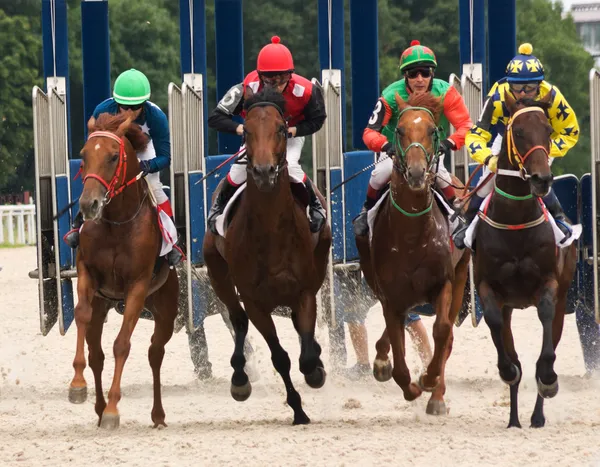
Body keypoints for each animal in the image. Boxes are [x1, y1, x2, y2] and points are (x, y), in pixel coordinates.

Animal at [68, 111, 178, 430]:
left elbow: (122, 345)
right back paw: (97, 406)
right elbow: (82, 316)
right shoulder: (87, 273)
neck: (117, 222)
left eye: (114, 156)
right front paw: (77, 386)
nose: (89, 204)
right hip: (103, 305)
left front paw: (113, 410)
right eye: (83, 156)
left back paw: (157, 415)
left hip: (166, 309)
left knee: (155, 353)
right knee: (96, 353)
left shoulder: (137, 287)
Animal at [202, 86, 332, 426]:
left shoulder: (304, 291)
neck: (272, 231)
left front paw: (315, 372)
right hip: (218, 272)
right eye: (246, 130)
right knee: (237, 319)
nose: (263, 171)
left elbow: (306, 354)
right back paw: (239, 379)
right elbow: (280, 357)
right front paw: (298, 409)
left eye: (281, 129)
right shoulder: (255, 301)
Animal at [354, 93, 472, 414]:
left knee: (448, 336)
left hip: (461, 276)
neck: (411, 234)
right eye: (399, 130)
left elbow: (442, 331)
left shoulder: (444, 283)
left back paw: (437, 396)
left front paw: (430, 381)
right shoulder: (390, 293)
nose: (418, 173)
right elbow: (397, 349)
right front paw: (405, 381)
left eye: (433, 131)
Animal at [472, 92, 580, 432]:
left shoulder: (549, 283)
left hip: (563, 295)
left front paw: (548, 379)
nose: (541, 179)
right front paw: (508, 370)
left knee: (553, 335)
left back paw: (536, 415)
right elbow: (496, 327)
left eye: (547, 130)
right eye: (518, 132)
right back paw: (514, 419)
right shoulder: (488, 287)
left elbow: (546, 324)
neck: (516, 221)